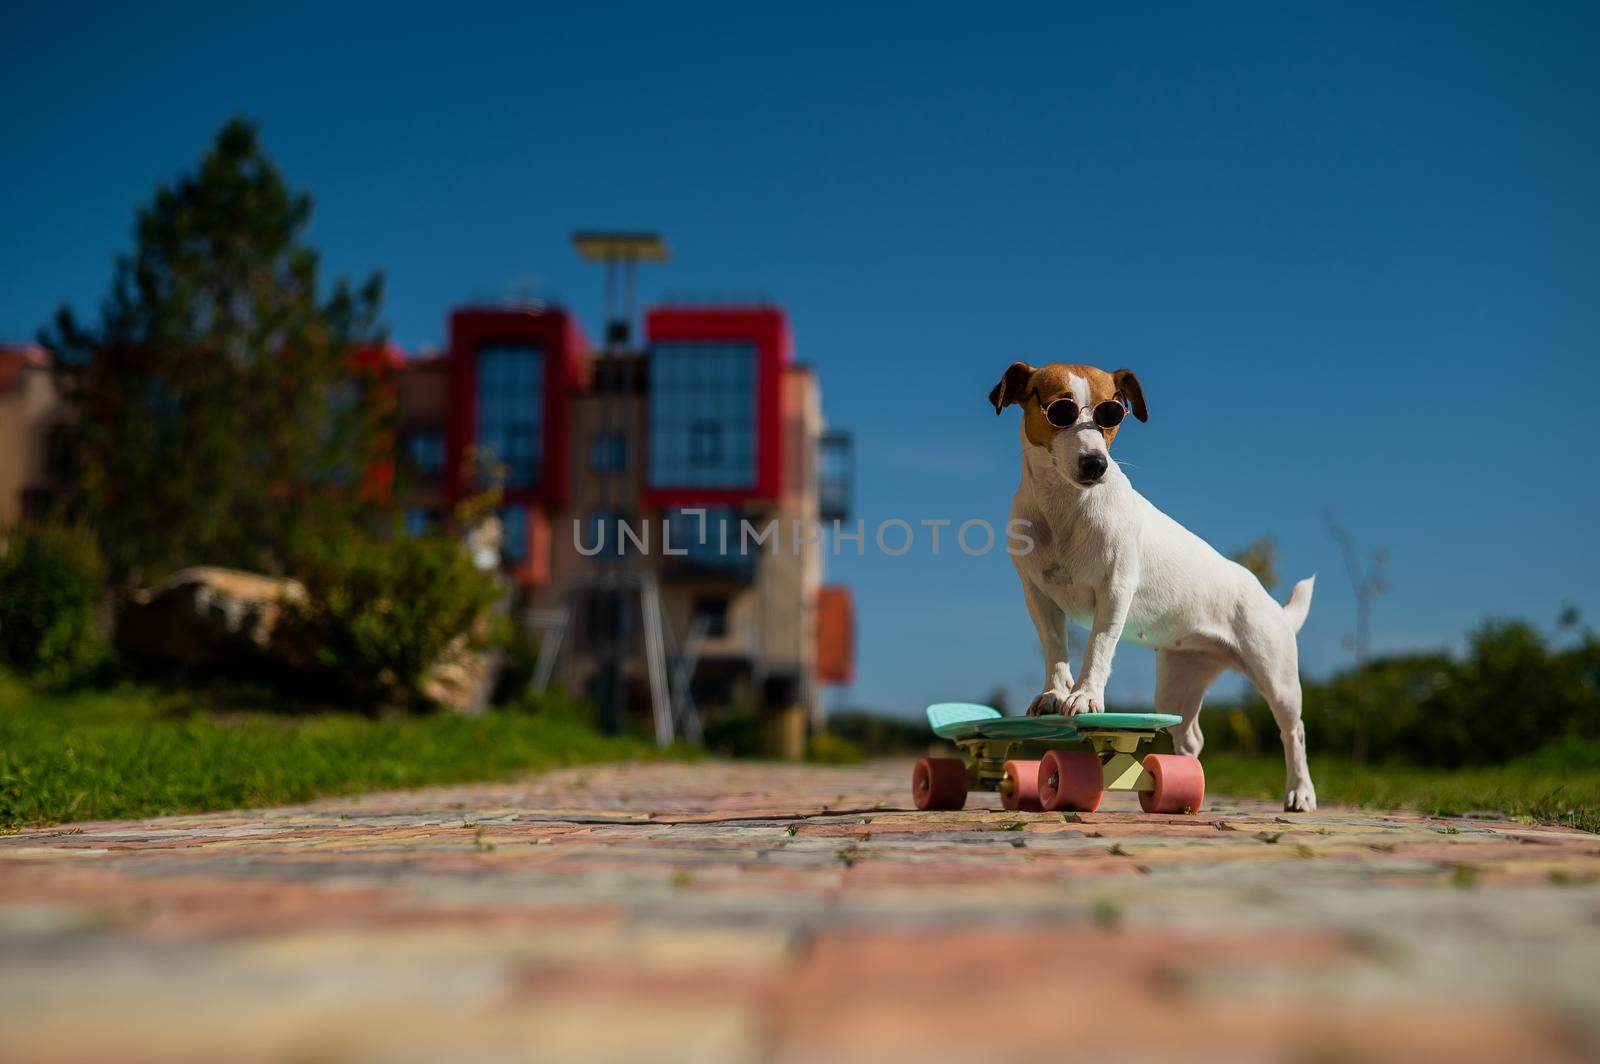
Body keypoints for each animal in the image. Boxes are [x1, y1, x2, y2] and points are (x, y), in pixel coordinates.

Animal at [992, 361, 1318, 809]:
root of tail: (1272, 603)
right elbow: (1055, 648)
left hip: (1277, 675)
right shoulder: (1038, 595)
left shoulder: (1115, 591)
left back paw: (1300, 793)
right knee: (1190, 735)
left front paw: (1085, 695)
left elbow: (1097, 647)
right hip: (1179, 682)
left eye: (1112, 413)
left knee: (1294, 731)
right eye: (1060, 410)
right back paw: (1185, 783)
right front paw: (1055, 692)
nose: (1096, 463)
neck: (1065, 505)